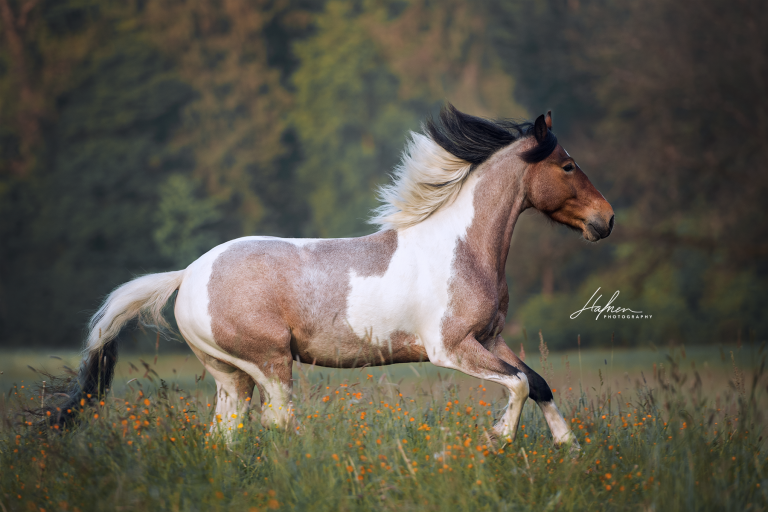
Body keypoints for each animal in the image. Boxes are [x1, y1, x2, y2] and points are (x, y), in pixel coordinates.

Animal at [50, 104, 613, 451]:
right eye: (567, 165)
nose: (606, 220)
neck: (462, 249)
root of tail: (189, 273)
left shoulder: (490, 338)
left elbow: (537, 381)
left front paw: (571, 448)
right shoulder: (451, 348)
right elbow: (517, 385)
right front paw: (498, 440)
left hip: (231, 376)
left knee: (224, 436)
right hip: (268, 364)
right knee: (278, 422)